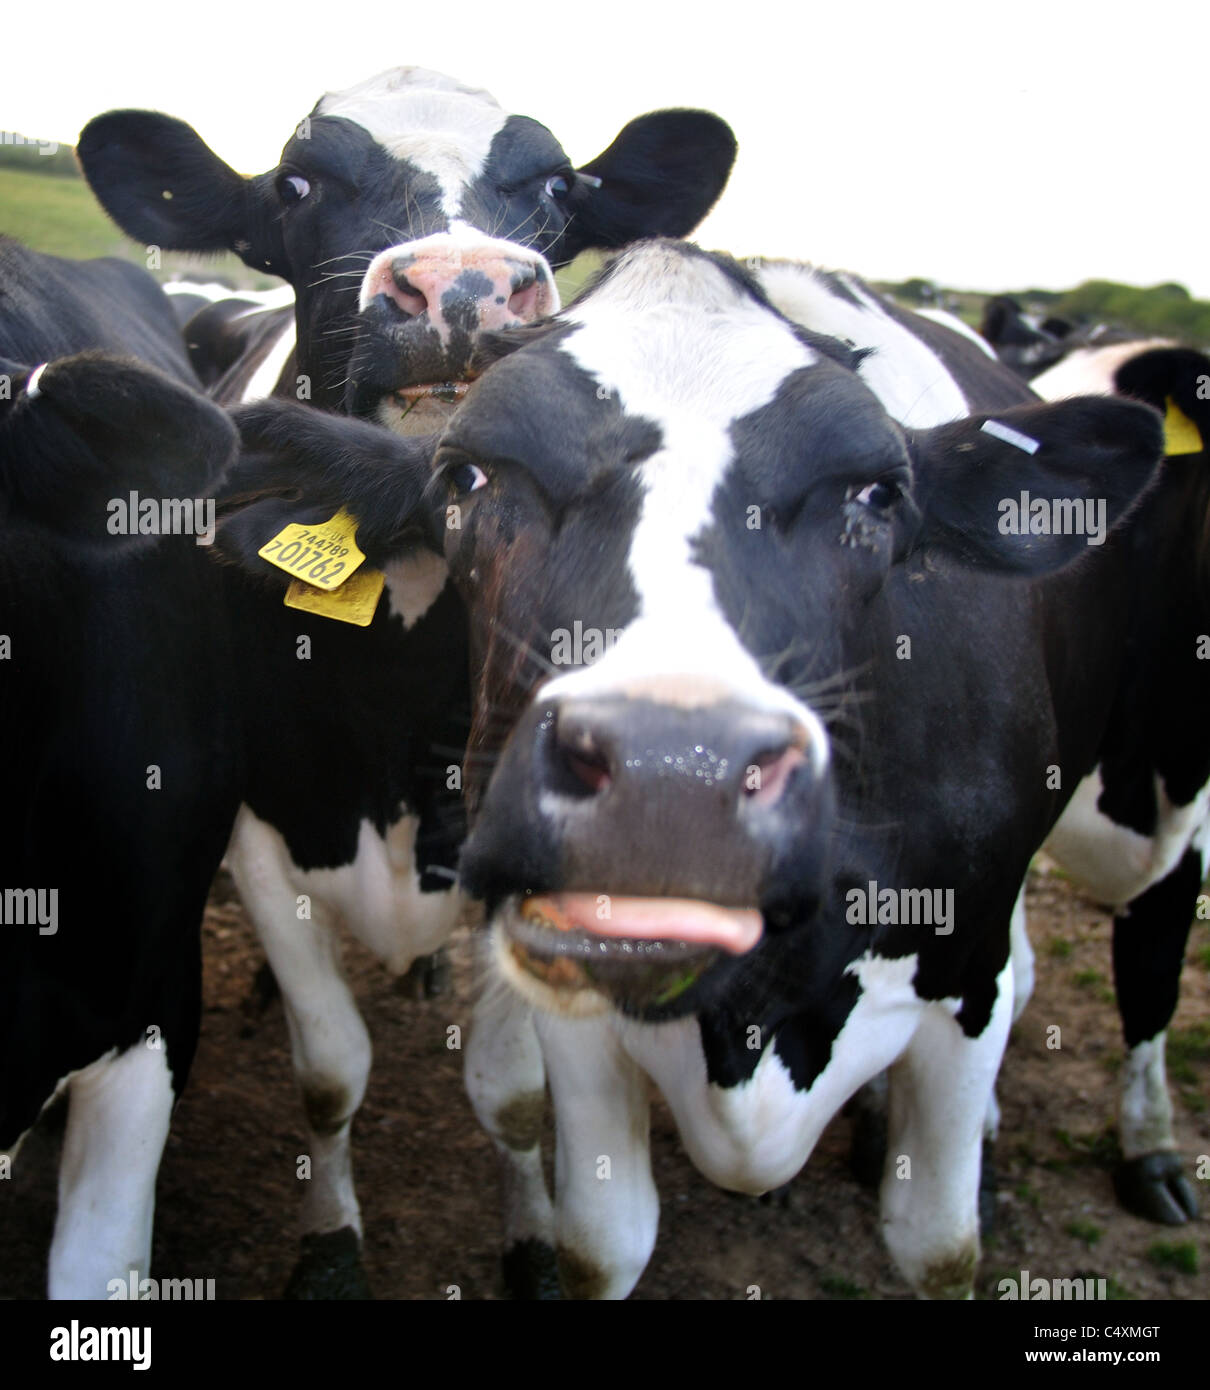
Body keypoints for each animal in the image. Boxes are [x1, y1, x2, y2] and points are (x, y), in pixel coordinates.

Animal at [78, 68, 738, 1296]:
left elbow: (512, 1096)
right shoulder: (261, 828)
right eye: (297, 184)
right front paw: (330, 1240)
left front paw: (529, 1239)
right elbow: (330, 1068)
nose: (464, 288)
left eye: (557, 187)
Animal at [215, 240, 1167, 1297]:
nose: (670, 780)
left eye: (879, 494)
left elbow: (942, 1247)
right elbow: (600, 1244)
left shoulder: (968, 980)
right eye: (464, 478)